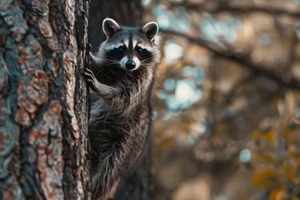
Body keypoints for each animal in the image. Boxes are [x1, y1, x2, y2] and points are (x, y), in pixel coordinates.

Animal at [82, 18, 159, 199]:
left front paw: (102, 88)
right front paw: (90, 58)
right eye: (121, 48)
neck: (123, 70)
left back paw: (96, 188)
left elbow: (124, 99)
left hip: (128, 141)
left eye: (140, 50)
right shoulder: (111, 69)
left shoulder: (142, 80)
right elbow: (101, 71)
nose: (130, 64)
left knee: (110, 170)